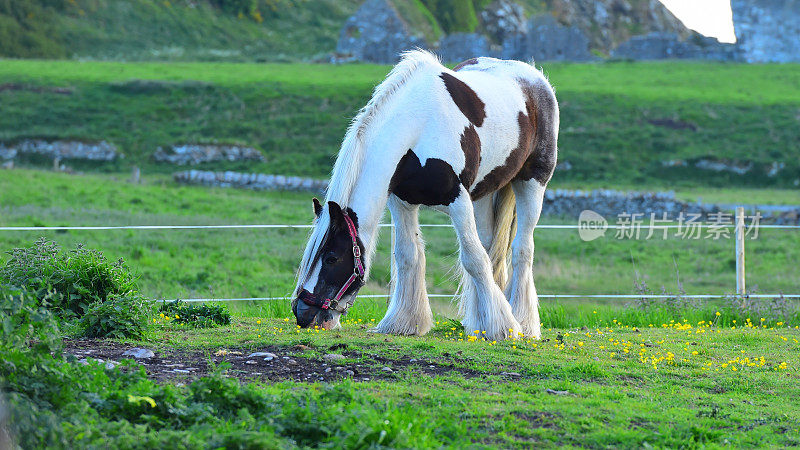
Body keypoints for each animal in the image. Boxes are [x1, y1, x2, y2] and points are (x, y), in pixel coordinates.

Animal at [290, 49, 560, 340]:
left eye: (331, 258)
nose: (303, 314)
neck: (418, 127)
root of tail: (535, 79)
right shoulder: (402, 202)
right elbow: (408, 255)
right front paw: (404, 322)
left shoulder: (458, 200)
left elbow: (473, 259)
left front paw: (503, 328)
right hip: (485, 192)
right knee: (491, 249)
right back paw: (479, 321)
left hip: (532, 182)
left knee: (522, 248)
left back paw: (524, 322)